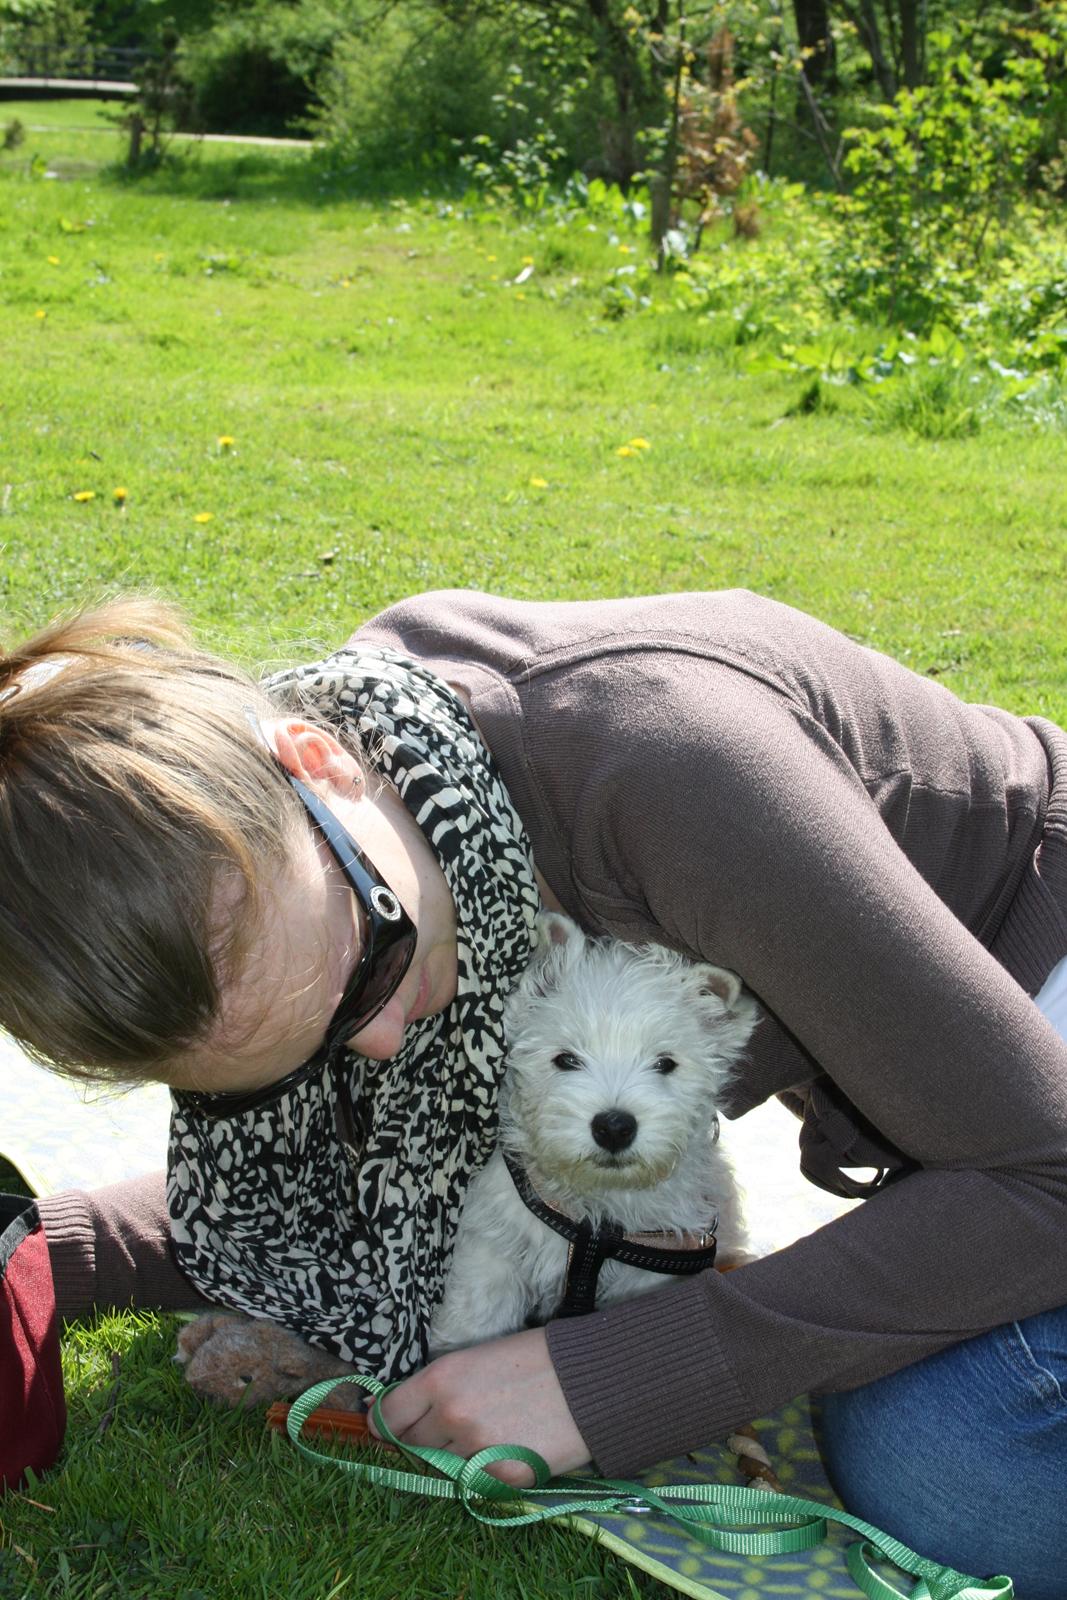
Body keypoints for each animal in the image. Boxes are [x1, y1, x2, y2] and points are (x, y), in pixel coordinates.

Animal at [428, 915, 758, 1350]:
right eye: (566, 1059)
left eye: (665, 1063)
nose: (614, 1127)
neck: (594, 1213)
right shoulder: (494, 1248)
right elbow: (477, 1314)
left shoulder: (654, 1269)